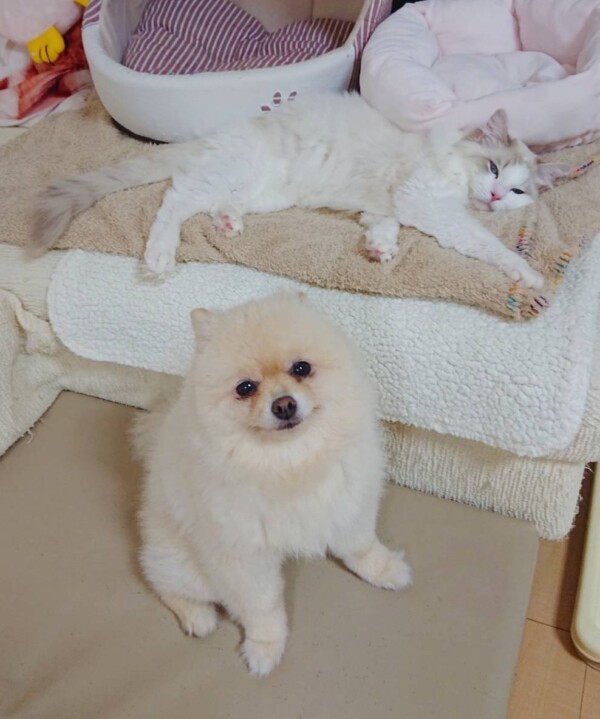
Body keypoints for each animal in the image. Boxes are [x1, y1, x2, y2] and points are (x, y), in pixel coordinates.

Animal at [33, 92, 568, 288]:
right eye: (493, 168)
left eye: (519, 192)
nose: (496, 197)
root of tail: (213, 136)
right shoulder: (427, 200)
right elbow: (486, 243)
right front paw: (531, 275)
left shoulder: (394, 203)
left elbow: (384, 224)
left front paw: (379, 248)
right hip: (230, 172)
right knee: (174, 202)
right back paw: (161, 256)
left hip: (264, 190)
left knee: (212, 203)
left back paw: (228, 222)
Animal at [132, 292, 412, 676]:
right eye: (245, 388)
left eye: (301, 368)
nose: (284, 404)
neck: (291, 462)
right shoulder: (242, 553)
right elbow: (261, 604)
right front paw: (265, 646)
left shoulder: (348, 501)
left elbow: (360, 545)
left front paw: (383, 569)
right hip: (186, 564)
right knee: (162, 581)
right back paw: (197, 615)